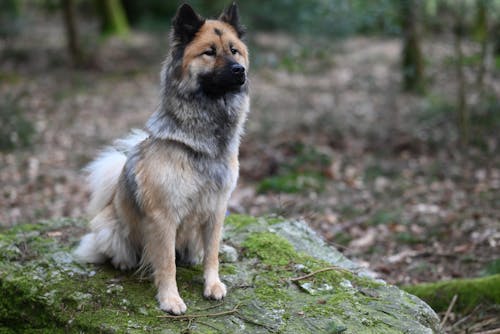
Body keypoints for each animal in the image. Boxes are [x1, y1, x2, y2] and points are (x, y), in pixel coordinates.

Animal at [75, 3, 249, 316]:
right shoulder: (163, 216)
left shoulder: (217, 209)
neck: (204, 139)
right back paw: (124, 262)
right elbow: (167, 263)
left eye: (234, 50)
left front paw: (212, 284)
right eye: (209, 52)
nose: (239, 70)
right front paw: (170, 299)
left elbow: (212, 254)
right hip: (110, 229)